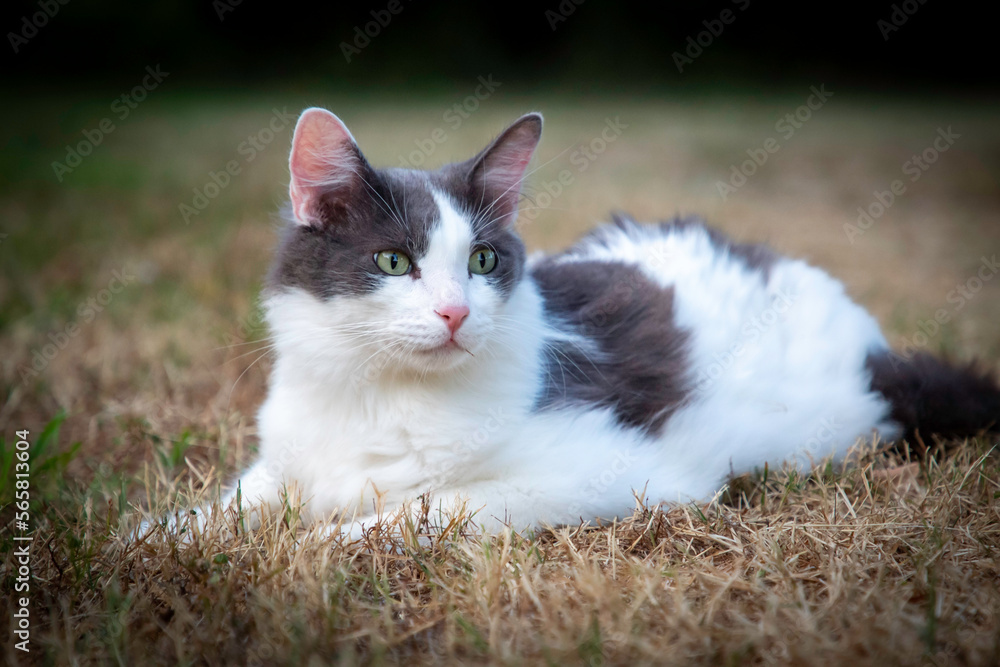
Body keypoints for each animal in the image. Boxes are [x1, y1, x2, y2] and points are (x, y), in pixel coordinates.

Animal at [152, 107, 996, 540]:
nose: (456, 311)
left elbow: (420, 510)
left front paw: (322, 544)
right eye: (394, 262)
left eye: (484, 260)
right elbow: (217, 511)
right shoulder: (282, 467)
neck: (377, 392)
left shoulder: (615, 470)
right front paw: (149, 547)